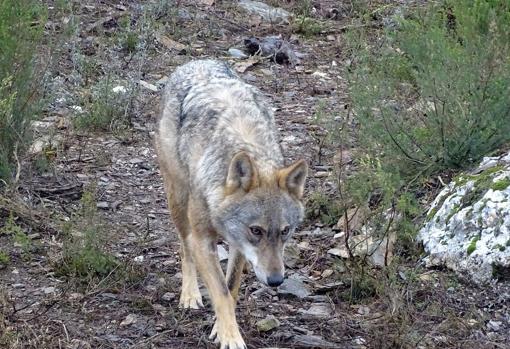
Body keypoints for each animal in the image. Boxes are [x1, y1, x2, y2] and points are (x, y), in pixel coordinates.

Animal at [154, 60, 306, 348]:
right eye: (256, 230)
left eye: (285, 231)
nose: (276, 281)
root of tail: (197, 61)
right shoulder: (203, 240)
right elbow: (221, 292)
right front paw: (231, 337)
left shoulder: (239, 245)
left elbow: (231, 287)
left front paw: (220, 328)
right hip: (177, 200)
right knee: (184, 248)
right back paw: (189, 295)